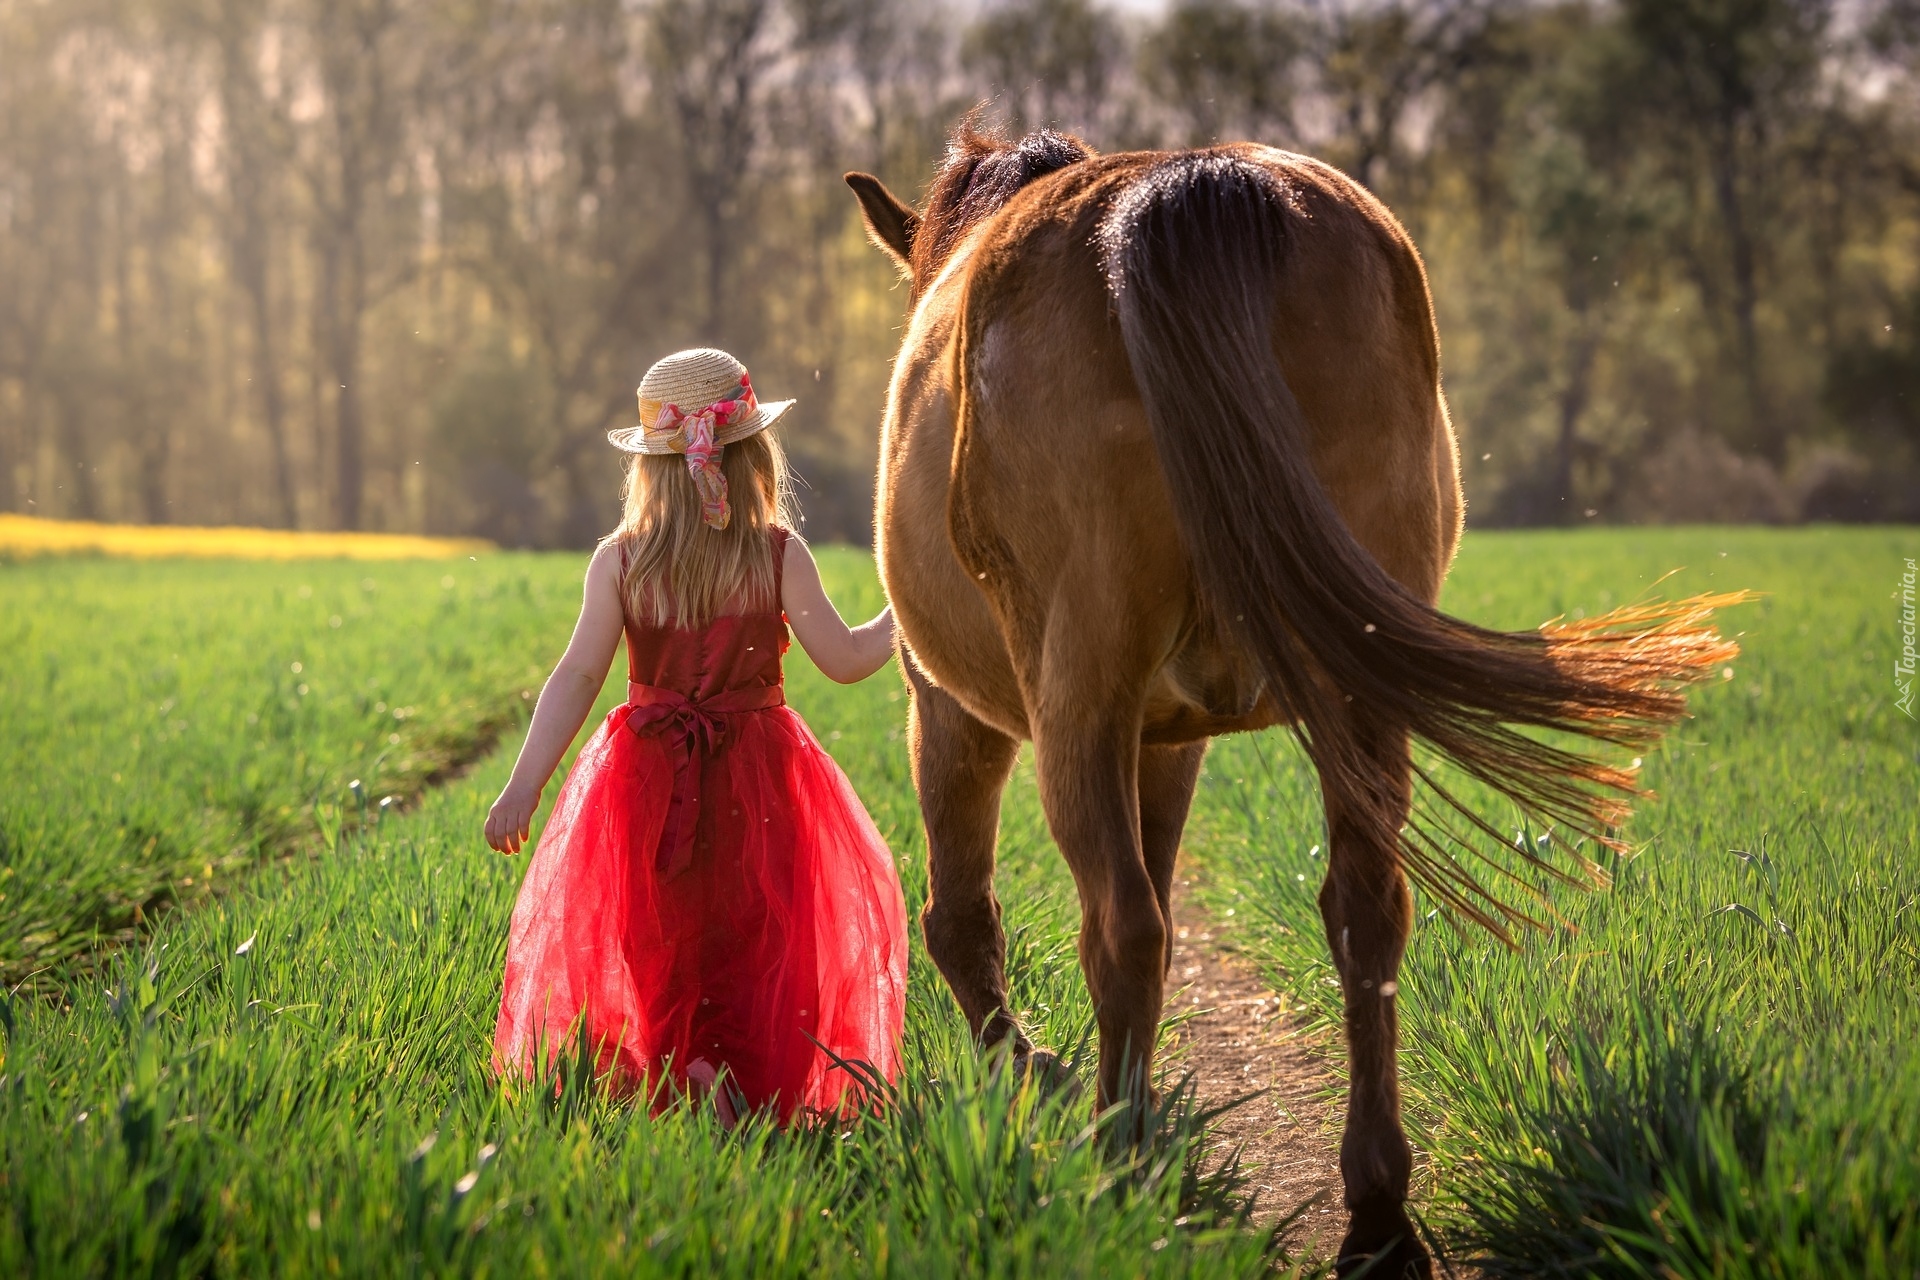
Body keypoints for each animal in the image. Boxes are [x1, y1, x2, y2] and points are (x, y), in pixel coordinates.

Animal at [840, 124, 1743, 1274]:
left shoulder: (954, 708)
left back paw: (1122, 1169)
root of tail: (1192, 184)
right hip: (1353, 696)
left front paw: (1038, 1077)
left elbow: (961, 917)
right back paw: (1376, 1209)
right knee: (1365, 910)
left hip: (1077, 697)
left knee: (1119, 924)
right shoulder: (1170, 737)